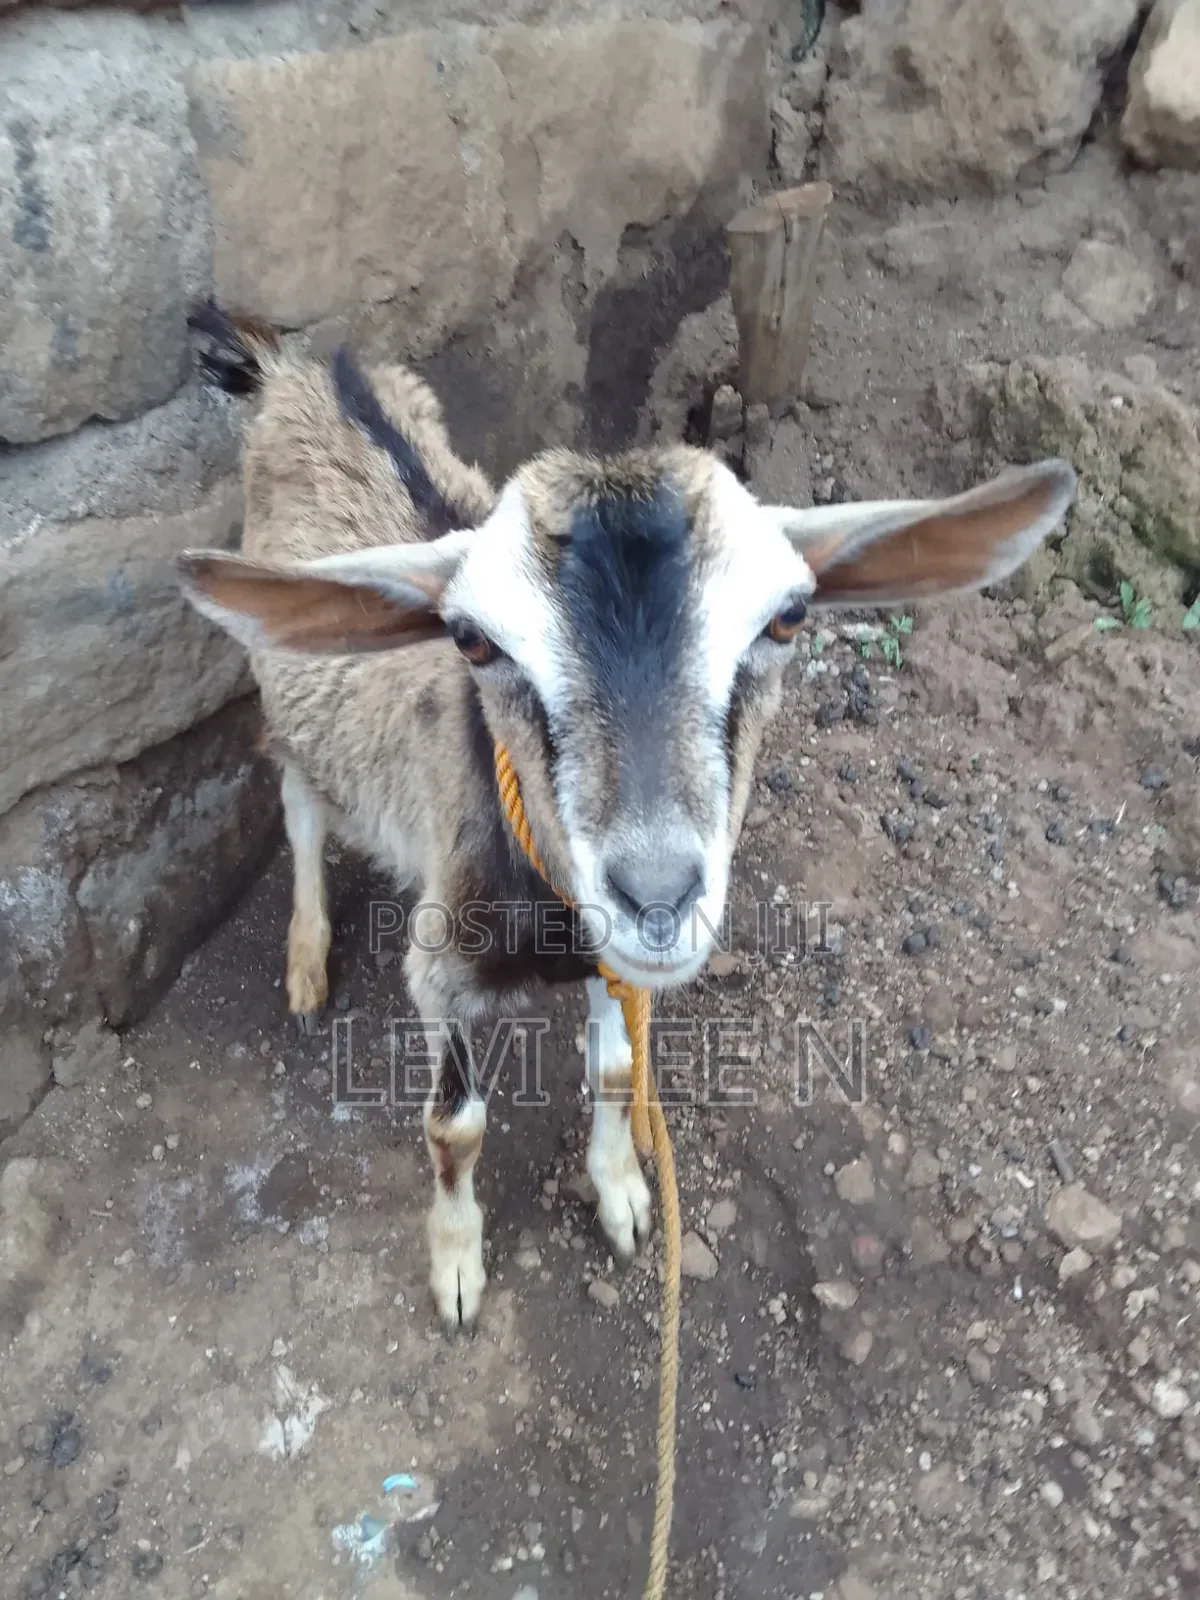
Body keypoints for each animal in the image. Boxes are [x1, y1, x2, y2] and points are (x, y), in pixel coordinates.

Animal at [178, 303, 1076, 1330]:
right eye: (472, 639)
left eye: (789, 618)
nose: (656, 896)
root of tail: (302, 367)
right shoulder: (442, 965)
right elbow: (454, 1127)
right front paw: (457, 1268)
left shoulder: (609, 961)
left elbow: (614, 1073)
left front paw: (621, 1195)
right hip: (287, 702)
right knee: (297, 800)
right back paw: (305, 960)